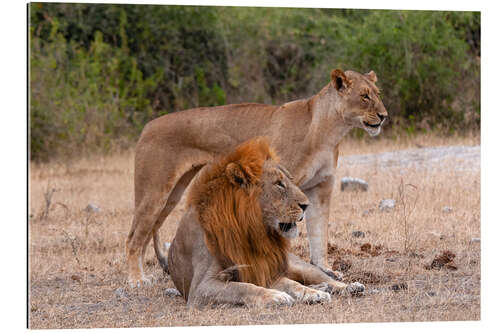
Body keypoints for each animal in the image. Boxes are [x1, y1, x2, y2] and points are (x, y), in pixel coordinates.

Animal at [127, 68, 388, 286]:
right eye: (364, 96)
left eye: (377, 94)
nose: (384, 116)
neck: (329, 131)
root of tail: (148, 126)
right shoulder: (283, 186)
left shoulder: (321, 188)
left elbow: (319, 233)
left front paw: (326, 269)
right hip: (154, 192)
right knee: (133, 237)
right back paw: (137, 280)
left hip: (172, 193)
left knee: (147, 233)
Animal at [167, 137, 364, 306]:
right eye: (279, 184)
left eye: (289, 181)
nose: (306, 205)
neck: (249, 231)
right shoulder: (200, 288)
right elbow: (241, 287)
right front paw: (276, 296)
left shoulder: (264, 270)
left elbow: (290, 284)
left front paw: (308, 293)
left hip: (299, 266)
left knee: (322, 278)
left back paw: (347, 287)